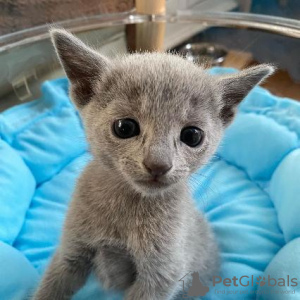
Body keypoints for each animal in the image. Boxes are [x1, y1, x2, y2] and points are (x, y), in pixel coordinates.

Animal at [33, 28, 274, 300]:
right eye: (124, 127)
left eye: (192, 136)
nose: (158, 164)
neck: (127, 205)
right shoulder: (70, 252)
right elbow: (51, 286)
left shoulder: (163, 274)